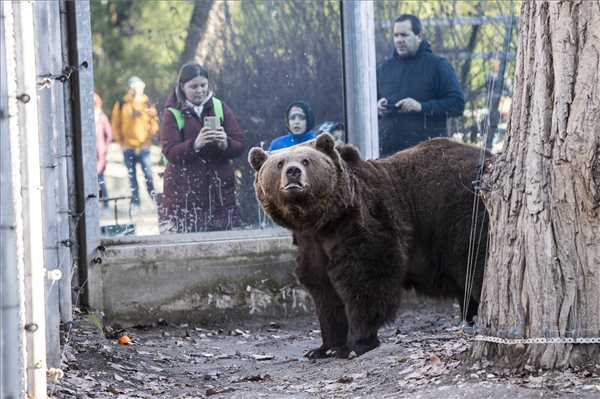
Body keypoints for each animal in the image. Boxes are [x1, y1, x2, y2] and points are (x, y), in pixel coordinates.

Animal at [247, 134, 488, 360]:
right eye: (280, 163)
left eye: (306, 160)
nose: (293, 172)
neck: (321, 223)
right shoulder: (311, 246)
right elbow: (324, 292)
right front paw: (323, 348)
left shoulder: (363, 223)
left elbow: (365, 280)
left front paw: (353, 346)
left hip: (461, 213)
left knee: (477, 266)